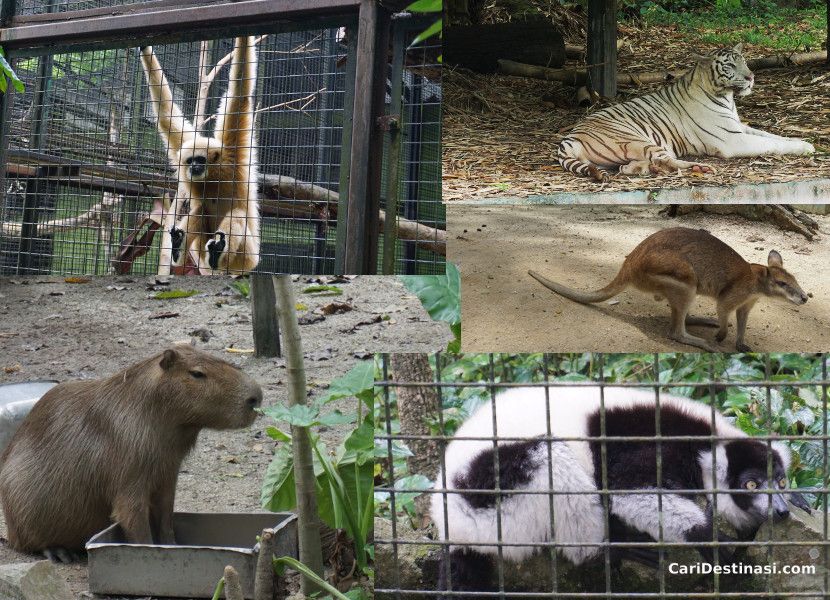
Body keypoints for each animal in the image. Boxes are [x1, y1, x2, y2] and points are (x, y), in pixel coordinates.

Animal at [560, 44, 820, 182]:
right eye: (730, 66)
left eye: (744, 61)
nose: (751, 77)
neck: (726, 97)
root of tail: (568, 138)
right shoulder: (732, 139)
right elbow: (771, 144)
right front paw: (805, 148)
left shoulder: (740, 127)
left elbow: (773, 136)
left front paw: (806, 142)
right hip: (635, 138)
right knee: (666, 160)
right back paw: (699, 168)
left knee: (632, 167)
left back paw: (647, 169)